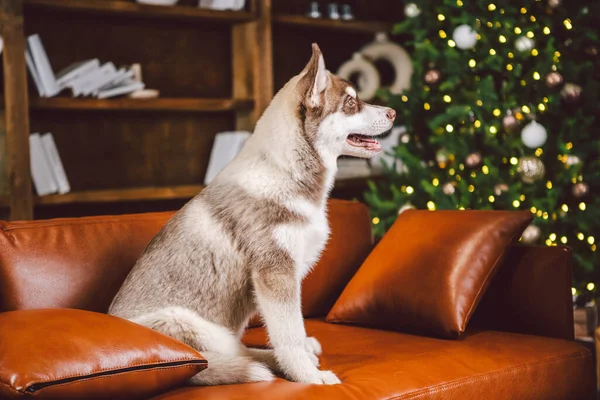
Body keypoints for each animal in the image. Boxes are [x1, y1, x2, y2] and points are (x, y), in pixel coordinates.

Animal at [109, 43, 396, 384]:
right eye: (351, 103)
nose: (394, 112)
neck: (286, 172)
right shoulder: (275, 273)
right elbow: (288, 335)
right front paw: (308, 376)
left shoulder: (289, 274)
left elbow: (293, 329)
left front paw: (305, 357)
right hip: (187, 324)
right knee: (222, 358)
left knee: (240, 353)